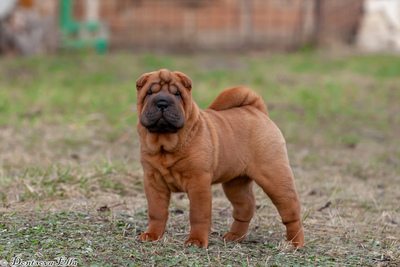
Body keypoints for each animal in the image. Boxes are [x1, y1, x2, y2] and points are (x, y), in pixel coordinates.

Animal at [136, 68, 304, 249]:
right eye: (149, 93)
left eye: (178, 94)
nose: (162, 103)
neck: (165, 145)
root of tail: (257, 111)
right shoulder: (153, 182)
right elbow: (156, 212)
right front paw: (152, 235)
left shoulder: (198, 183)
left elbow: (198, 215)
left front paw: (196, 240)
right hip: (235, 183)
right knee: (245, 207)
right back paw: (235, 236)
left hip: (274, 176)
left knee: (291, 208)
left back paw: (295, 243)